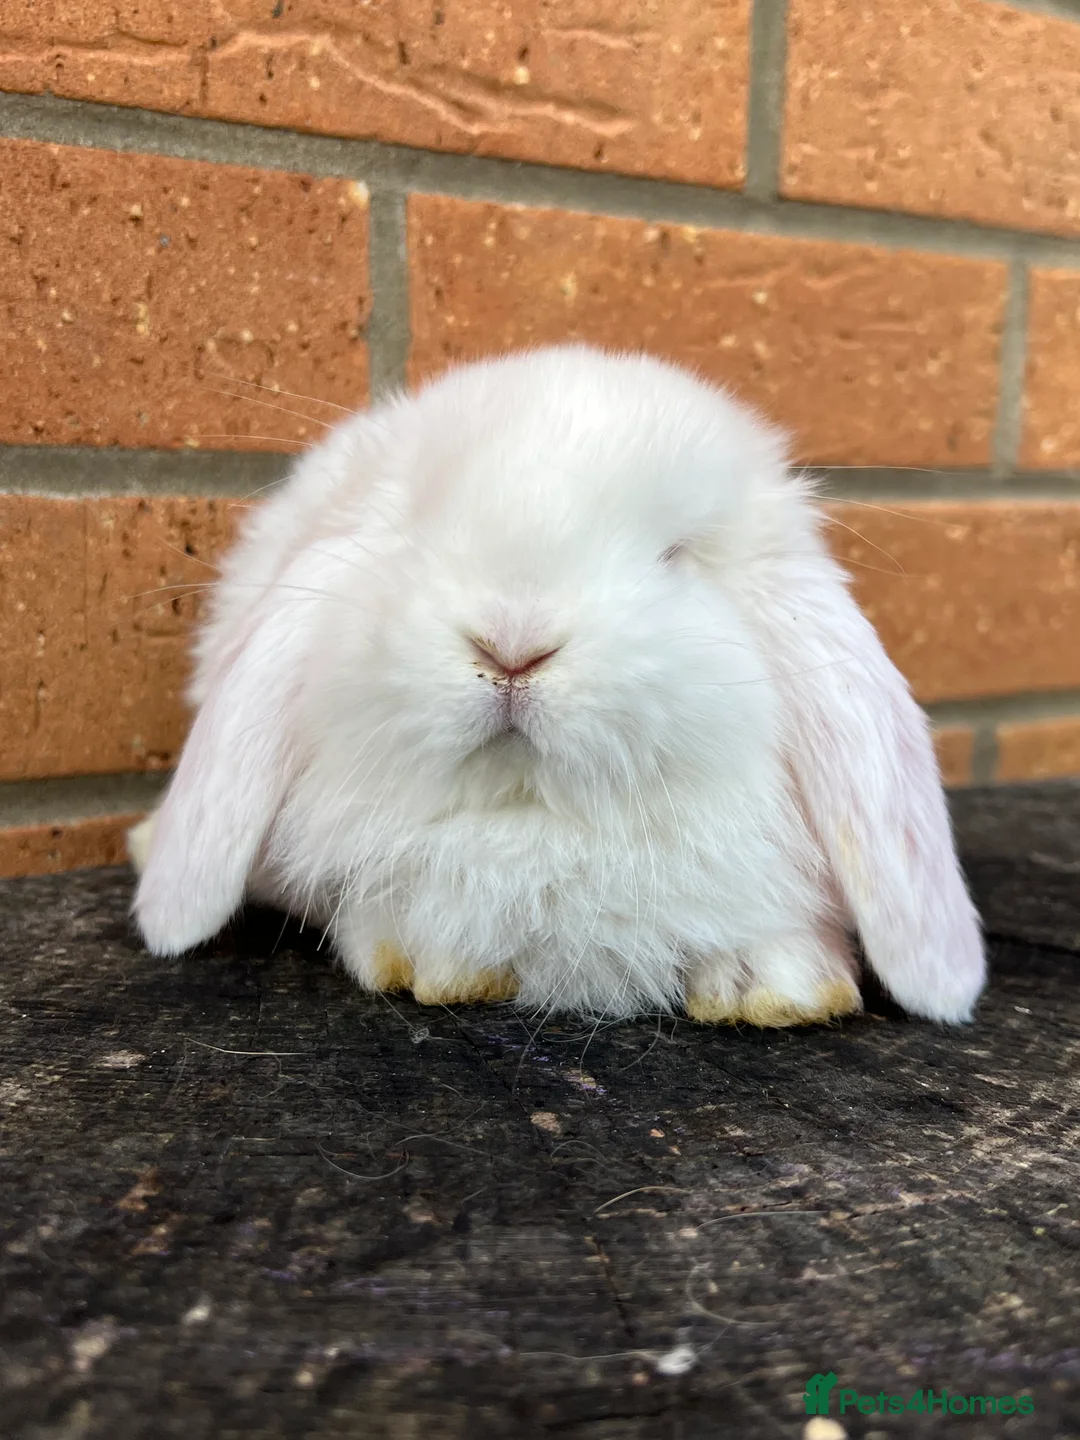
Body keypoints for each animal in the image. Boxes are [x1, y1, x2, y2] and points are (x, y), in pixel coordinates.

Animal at [131, 344, 985, 1027]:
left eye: (677, 554)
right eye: (413, 532)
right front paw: (436, 962)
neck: (537, 820)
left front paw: (774, 988)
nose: (511, 646)